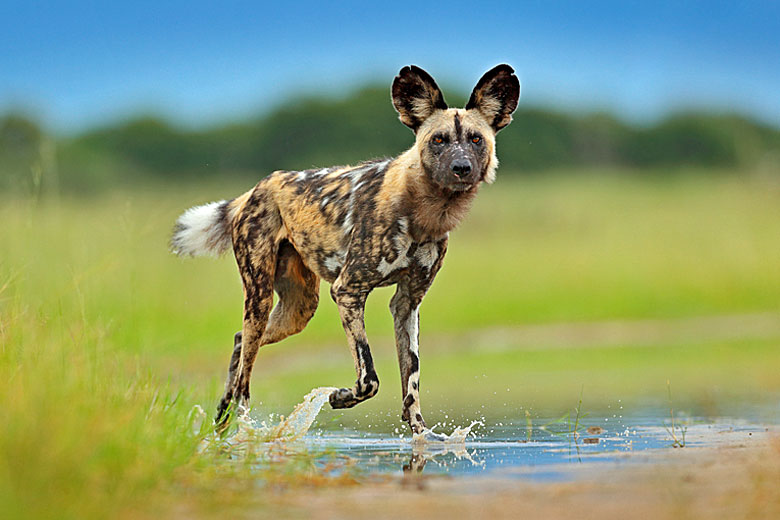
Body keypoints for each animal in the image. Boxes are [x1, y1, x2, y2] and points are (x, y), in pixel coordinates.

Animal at [174, 63, 520, 432]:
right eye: (438, 140)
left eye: (476, 139)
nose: (461, 168)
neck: (424, 211)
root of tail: (256, 189)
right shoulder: (348, 291)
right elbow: (369, 378)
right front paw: (340, 398)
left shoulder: (407, 303)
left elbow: (411, 383)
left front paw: (421, 435)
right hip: (261, 298)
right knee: (245, 376)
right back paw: (243, 428)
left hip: (298, 309)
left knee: (240, 343)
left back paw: (222, 422)